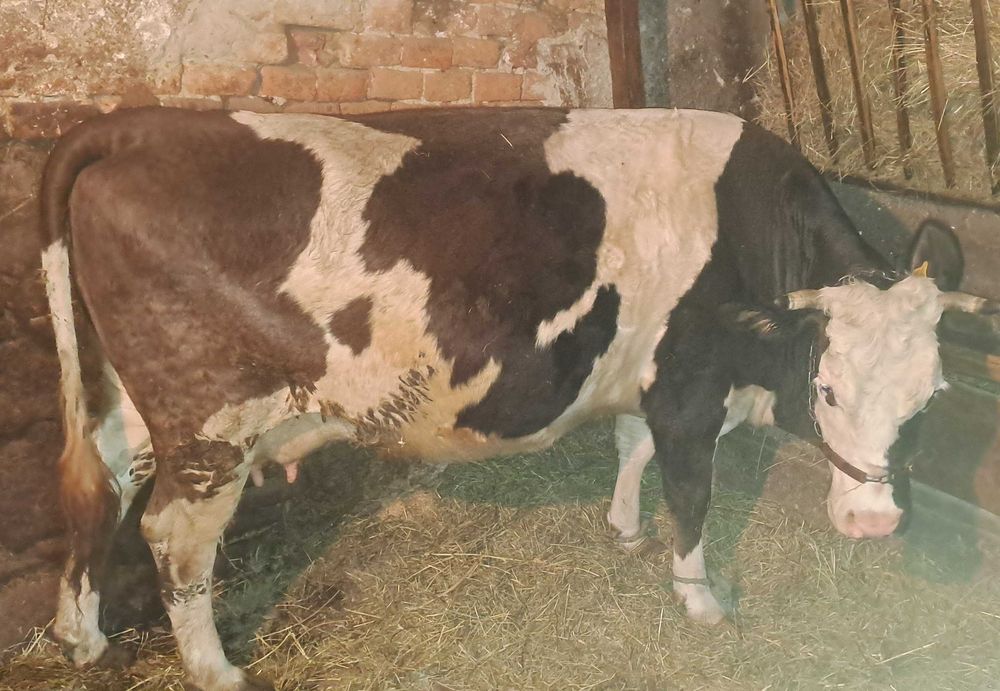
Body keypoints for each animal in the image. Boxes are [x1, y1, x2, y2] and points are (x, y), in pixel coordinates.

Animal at [39, 106, 996, 690]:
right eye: (825, 384)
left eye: (932, 396)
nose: (874, 522)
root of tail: (129, 125)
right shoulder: (690, 390)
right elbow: (691, 497)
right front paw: (700, 599)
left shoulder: (644, 377)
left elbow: (629, 448)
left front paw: (623, 526)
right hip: (212, 420)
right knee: (174, 535)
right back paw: (214, 668)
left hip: (133, 405)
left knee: (100, 490)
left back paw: (78, 635)